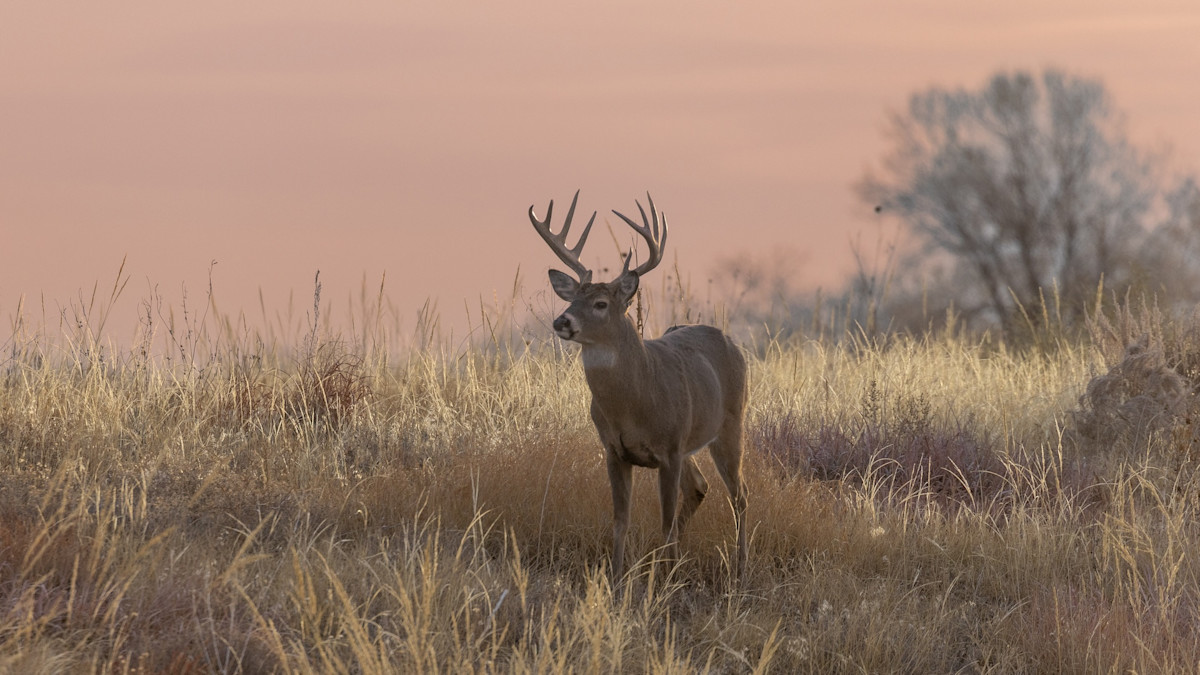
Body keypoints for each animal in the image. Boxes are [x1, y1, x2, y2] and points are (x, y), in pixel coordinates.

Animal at [528, 190, 749, 582]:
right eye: (572, 298)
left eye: (600, 303)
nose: (561, 321)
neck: (633, 403)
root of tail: (728, 340)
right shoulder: (614, 450)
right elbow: (621, 519)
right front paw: (617, 578)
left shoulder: (670, 448)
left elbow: (664, 521)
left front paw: (665, 581)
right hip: (692, 445)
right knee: (700, 488)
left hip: (731, 424)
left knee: (739, 496)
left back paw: (738, 569)